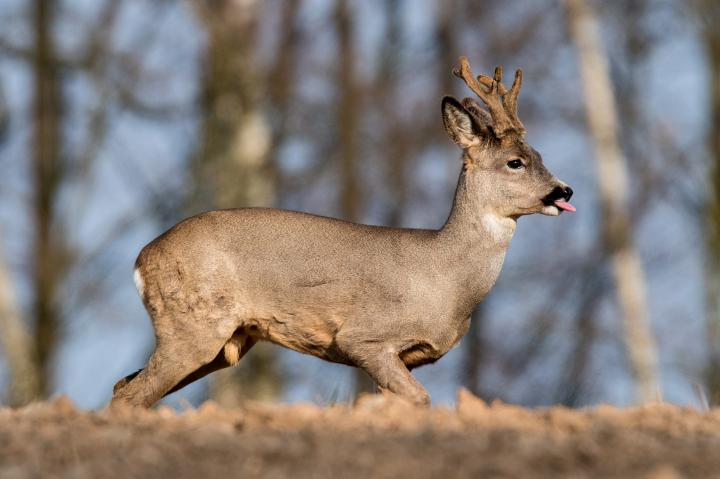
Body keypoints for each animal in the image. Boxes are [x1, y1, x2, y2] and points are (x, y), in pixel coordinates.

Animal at [111, 56, 572, 408]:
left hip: (225, 340)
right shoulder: (364, 337)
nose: (564, 190)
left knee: (124, 386)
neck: (447, 278)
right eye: (515, 162)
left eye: (540, 155)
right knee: (131, 394)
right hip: (193, 324)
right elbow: (420, 400)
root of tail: (141, 259)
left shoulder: (404, 357)